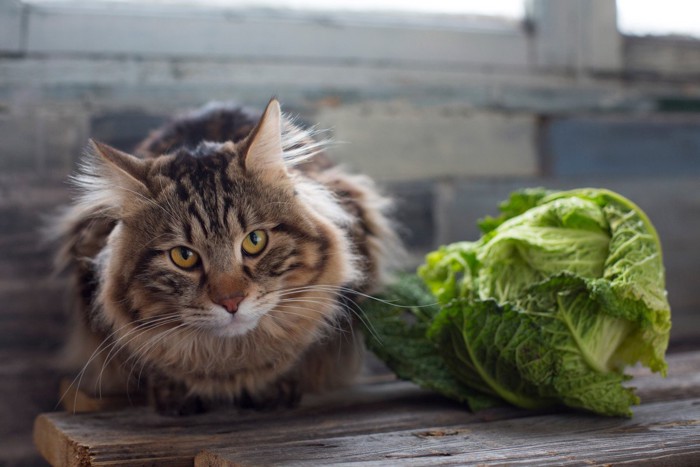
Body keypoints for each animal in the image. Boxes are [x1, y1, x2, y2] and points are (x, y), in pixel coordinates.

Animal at [52, 99, 402, 416]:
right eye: (183, 256)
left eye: (255, 241)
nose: (231, 302)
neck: (230, 359)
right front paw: (174, 395)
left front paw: (275, 389)